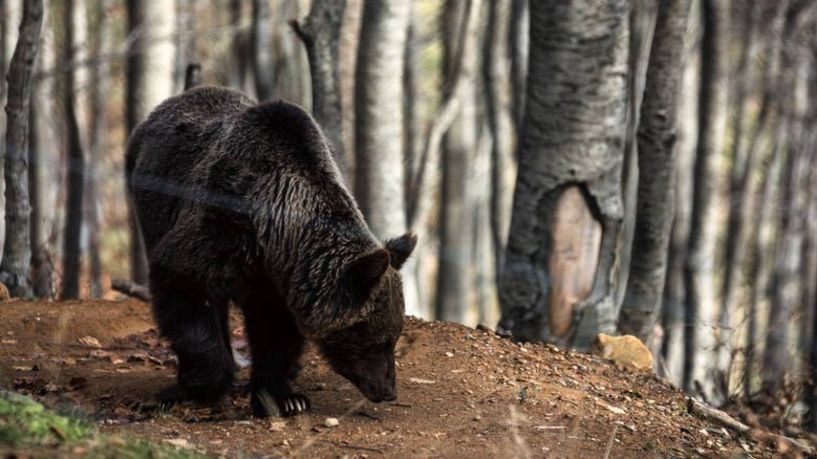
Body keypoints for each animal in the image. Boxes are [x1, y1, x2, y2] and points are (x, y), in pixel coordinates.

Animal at [124, 85, 418, 416]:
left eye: (394, 336)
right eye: (377, 339)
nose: (387, 390)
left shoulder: (282, 281)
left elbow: (274, 332)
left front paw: (284, 398)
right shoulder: (219, 232)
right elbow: (183, 288)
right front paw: (205, 385)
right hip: (150, 204)